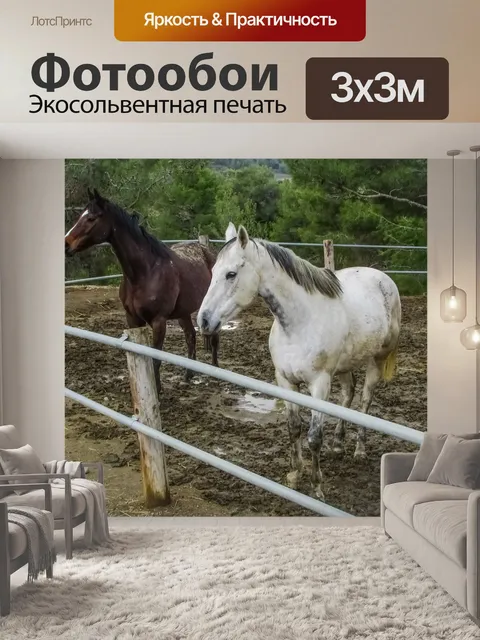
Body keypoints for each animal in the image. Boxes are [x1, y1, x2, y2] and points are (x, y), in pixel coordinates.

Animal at [65, 188, 220, 391]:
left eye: (91, 218)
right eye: (80, 215)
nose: (66, 244)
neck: (146, 271)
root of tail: (209, 250)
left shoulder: (158, 321)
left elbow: (155, 357)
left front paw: (158, 390)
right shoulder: (133, 320)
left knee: (214, 336)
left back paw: (216, 369)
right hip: (183, 312)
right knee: (190, 336)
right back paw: (188, 375)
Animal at [197, 222, 401, 500]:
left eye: (231, 274)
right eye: (212, 272)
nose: (203, 320)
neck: (300, 323)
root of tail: (383, 278)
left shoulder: (319, 385)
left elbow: (314, 436)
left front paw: (317, 487)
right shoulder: (285, 380)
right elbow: (293, 427)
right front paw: (295, 474)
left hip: (377, 359)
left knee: (365, 399)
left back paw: (359, 450)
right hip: (344, 365)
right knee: (348, 394)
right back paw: (338, 445)